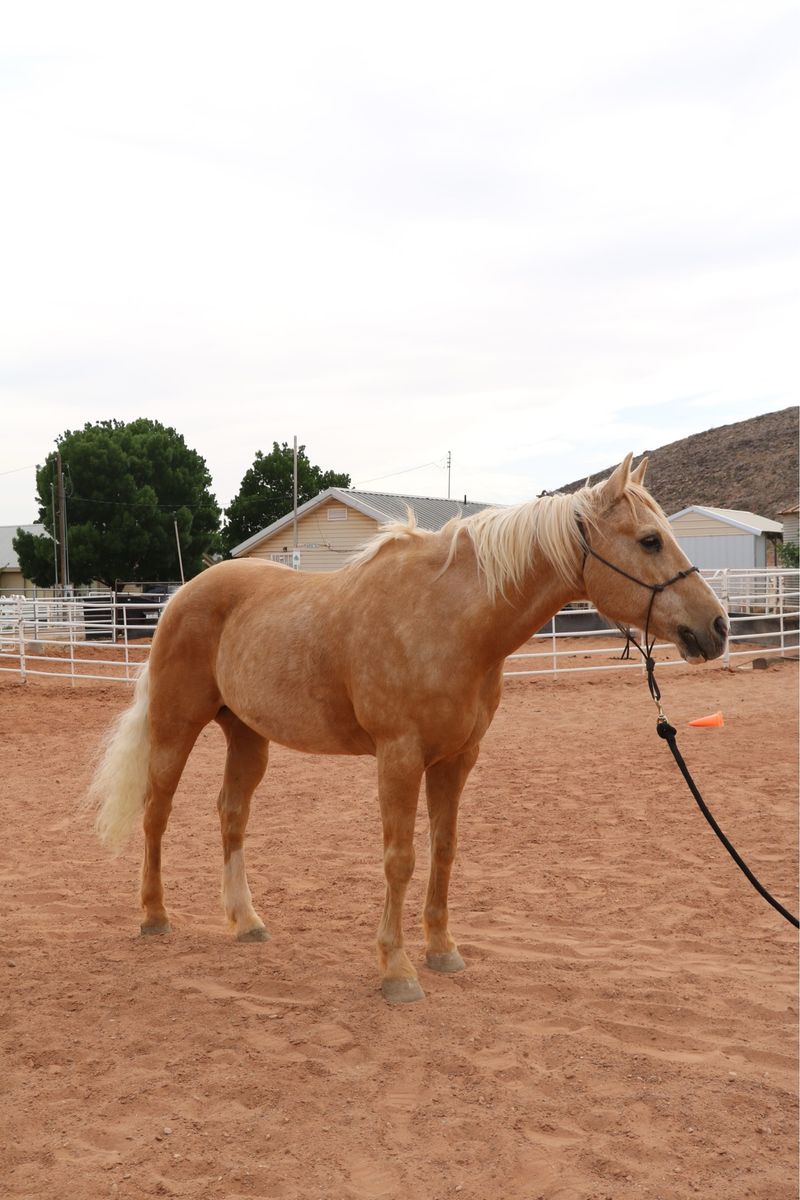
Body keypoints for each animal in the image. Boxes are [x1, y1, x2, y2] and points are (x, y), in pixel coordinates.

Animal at [88, 454, 728, 1003]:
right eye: (649, 540)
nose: (717, 627)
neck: (451, 621)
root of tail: (181, 596)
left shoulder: (457, 758)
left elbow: (444, 849)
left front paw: (442, 951)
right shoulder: (398, 757)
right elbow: (400, 857)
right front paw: (396, 971)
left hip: (247, 735)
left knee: (231, 816)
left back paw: (246, 922)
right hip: (176, 727)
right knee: (156, 814)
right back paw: (154, 916)